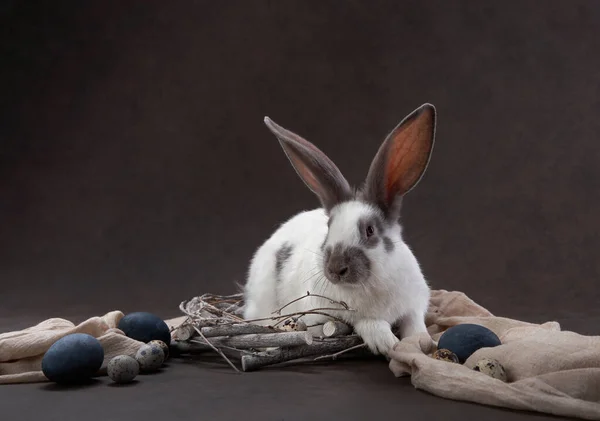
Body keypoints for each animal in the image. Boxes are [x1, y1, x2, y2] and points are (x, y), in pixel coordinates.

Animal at [243, 103, 436, 356]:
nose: (335, 269)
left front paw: (423, 341)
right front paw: (386, 342)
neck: (369, 284)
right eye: (329, 227)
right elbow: (366, 322)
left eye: (370, 230)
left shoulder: (414, 303)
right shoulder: (323, 317)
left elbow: (415, 323)